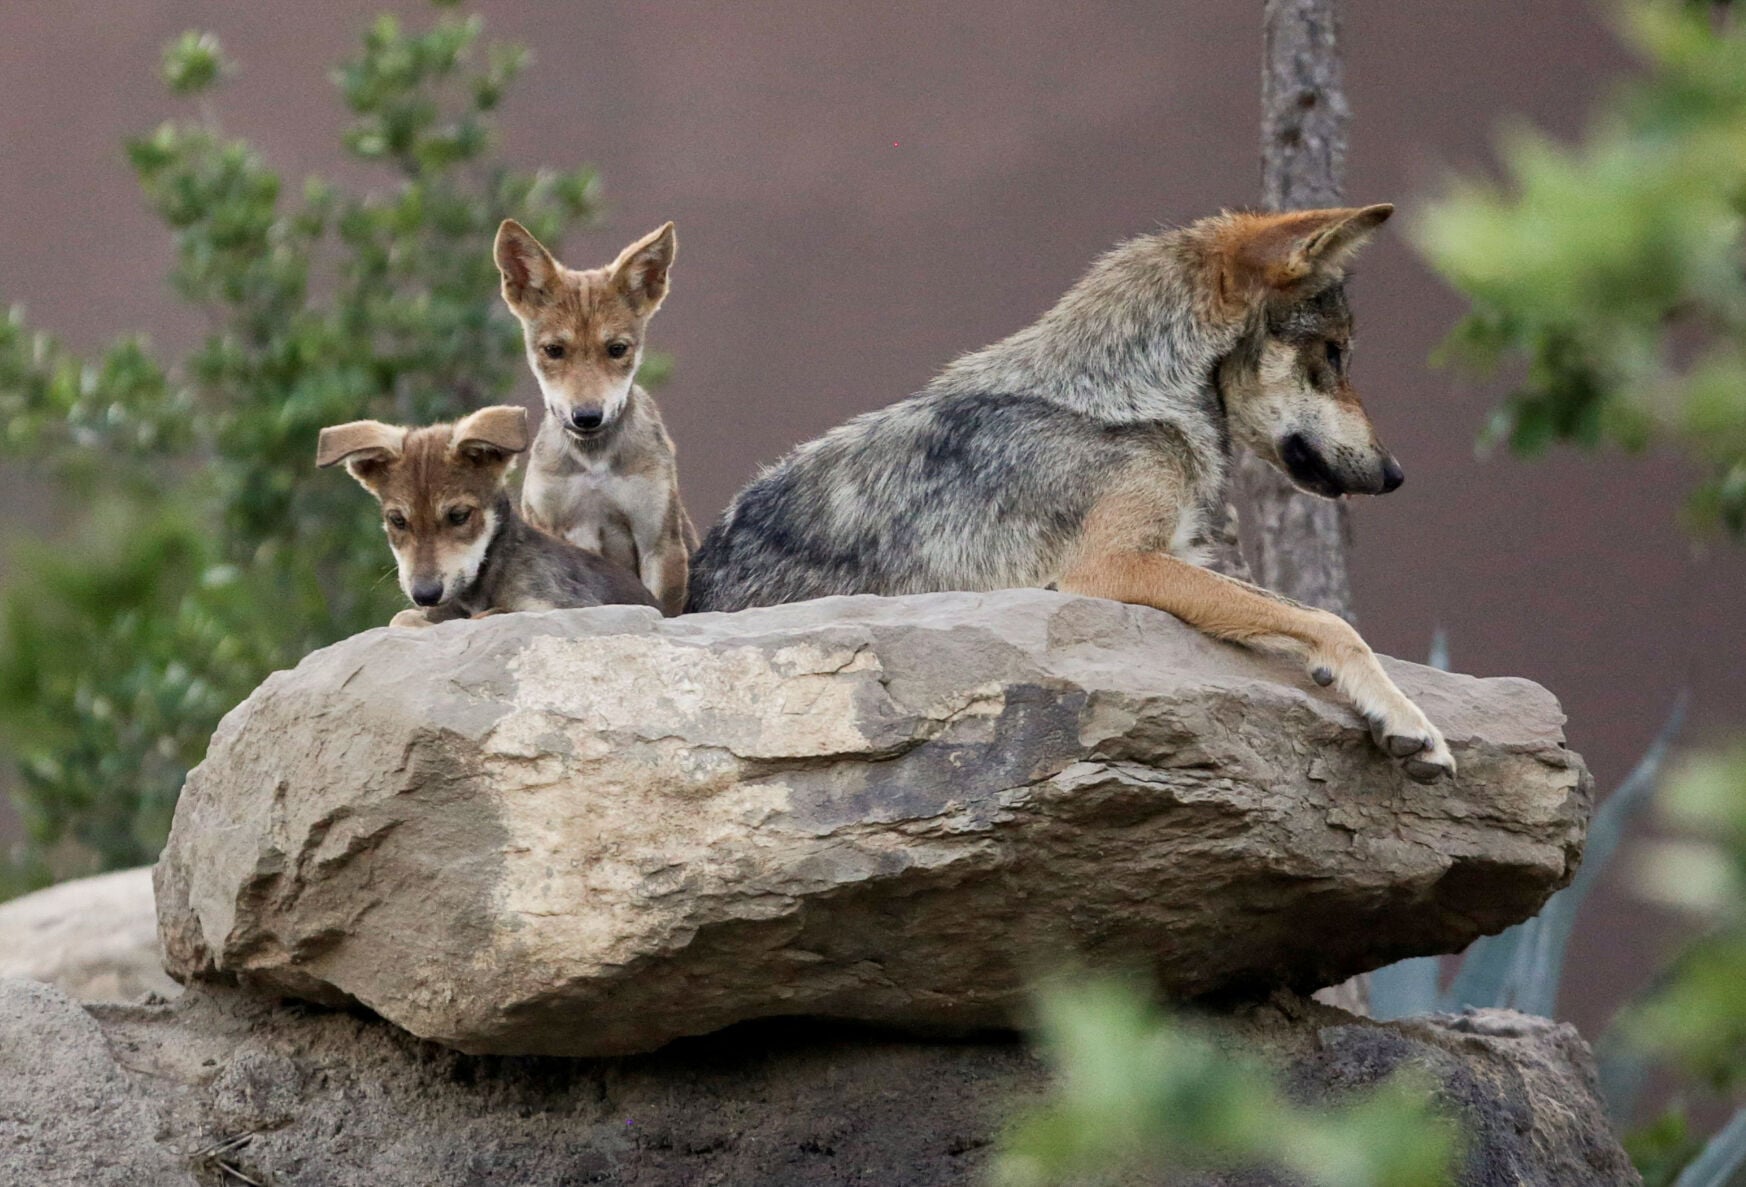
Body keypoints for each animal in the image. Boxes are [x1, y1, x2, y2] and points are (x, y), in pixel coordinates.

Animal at [317, 404, 658, 626]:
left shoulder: (563, 606)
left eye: (459, 515)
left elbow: (489, 615)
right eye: (397, 521)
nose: (425, 594)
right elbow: (402, 618)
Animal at [494, 219, 697, 615]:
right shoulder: (560, 532)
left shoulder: (658, 543)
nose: (587, 416)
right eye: (554, 350)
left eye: (617, 349)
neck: (594, 467)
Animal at [688, 204, 1454, 781]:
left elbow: (1299, 612)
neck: (1126, 394)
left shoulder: (1189, 557)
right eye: (1333, 355)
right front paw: (1412, 721)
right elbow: (1332, 622)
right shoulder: (1110, 568)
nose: (1396, 474)